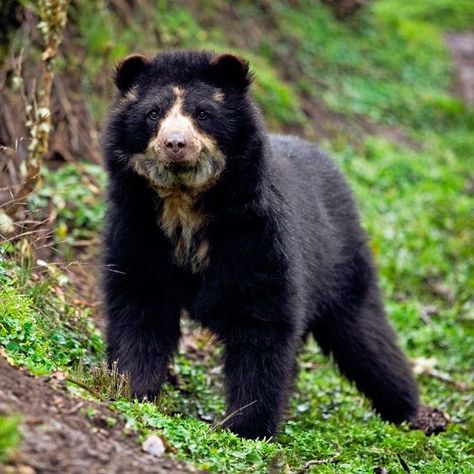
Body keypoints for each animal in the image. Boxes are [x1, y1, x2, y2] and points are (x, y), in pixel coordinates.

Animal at [103, 50, 418, 438]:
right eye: (153, 114)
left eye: (203, 113)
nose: (175, 144)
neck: (185, 203)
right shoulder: (137, 226)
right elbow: (139, 304)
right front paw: (131, 388)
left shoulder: (256, 234)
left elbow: (262, 322)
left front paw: (247, 426)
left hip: (341, 261)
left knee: (365, 336)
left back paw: (411, 411)